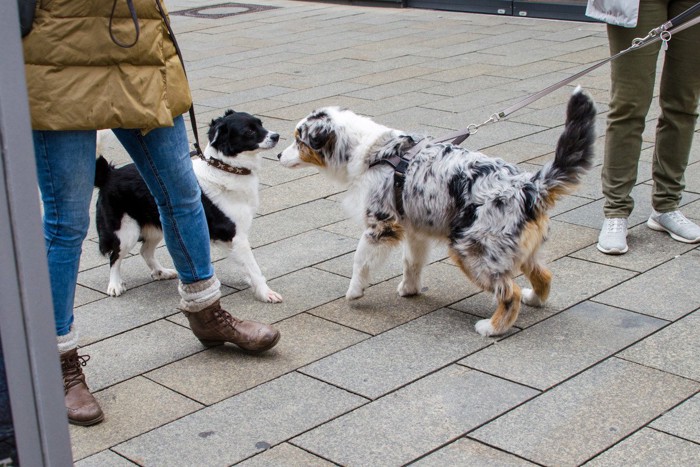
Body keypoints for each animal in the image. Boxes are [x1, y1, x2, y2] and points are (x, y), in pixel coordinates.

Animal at [94, 111, 284, 306]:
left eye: (260, 124)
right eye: (249, 131)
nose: (276, 136)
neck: (226, 168)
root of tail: (109, 174)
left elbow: (246, 266)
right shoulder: (236, 236)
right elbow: (253, 267)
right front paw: (265, 292)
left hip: (160, 225)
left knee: (145, 251)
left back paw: (161, 272)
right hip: (126, 232)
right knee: (115, 257)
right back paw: (115, 285)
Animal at [278, 88, 596, 336]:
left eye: (299, 140)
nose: (279, 154)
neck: (370, 153)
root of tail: (530, 186)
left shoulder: (380, 224)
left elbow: (361, 261)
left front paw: (354, 291)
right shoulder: (415, 227)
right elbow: (412, 262)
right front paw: (409, 289)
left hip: (471, 249)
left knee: (510, 293)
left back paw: (491, 328)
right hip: (521, 249)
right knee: (544, 275)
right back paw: (535, 299)